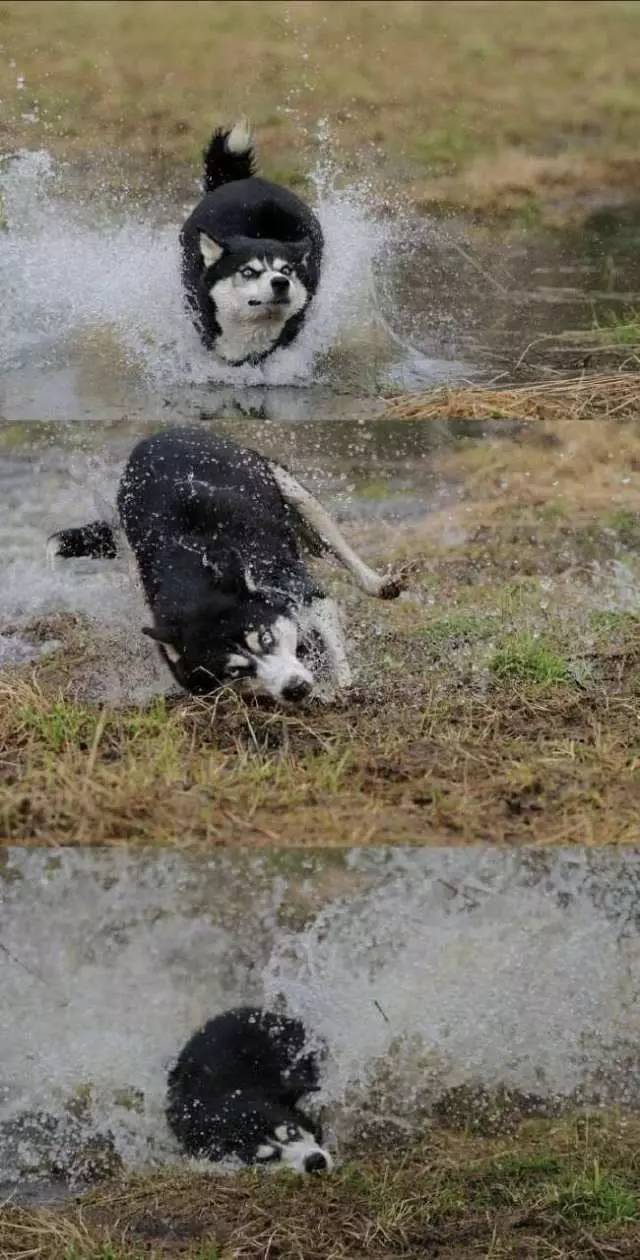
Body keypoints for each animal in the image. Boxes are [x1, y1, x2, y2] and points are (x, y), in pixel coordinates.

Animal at [48, 430, 405, 710]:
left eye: (265, 638)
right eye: (235, 671)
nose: (294, 688)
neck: (195, 578)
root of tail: (156, 437)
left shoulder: (303, 594)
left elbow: (333, 650)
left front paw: (340, 687)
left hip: (290, 489)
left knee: (341, 548)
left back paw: (377, 583)